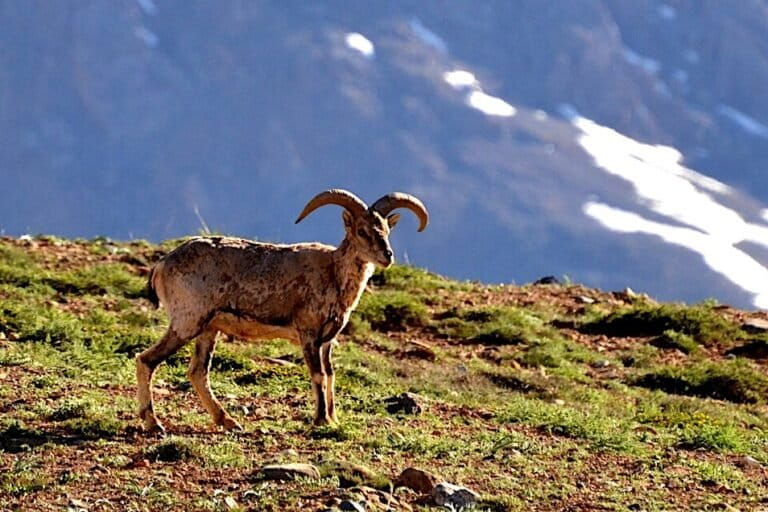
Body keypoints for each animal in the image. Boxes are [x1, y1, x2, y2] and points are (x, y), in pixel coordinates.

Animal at [136, 189, 429, 433]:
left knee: (198, 372)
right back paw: (154, 423)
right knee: (147, 360)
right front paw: (321, 420)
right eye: (361, 231)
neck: (333, 273)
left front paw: (333, 419)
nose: (387, 255)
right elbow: (318, 375)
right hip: (187, 322)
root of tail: (162, 265)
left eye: (386, 230)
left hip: (208, 329)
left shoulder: (327, 341)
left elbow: (331, 374)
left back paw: (228, 421)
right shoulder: (308, 334)